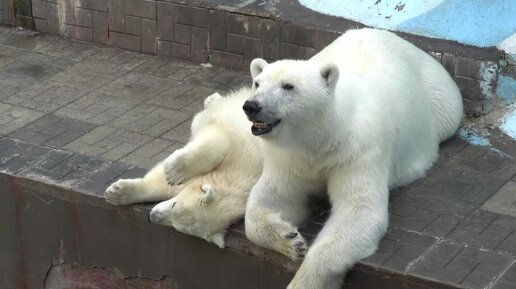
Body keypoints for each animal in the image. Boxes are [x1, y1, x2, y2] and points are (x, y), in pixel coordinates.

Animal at [243, 28, 464, 288]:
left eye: (288, 86)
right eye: (257, 83)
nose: (252, 106)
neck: (321, 137)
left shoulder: (357, 152)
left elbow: (359, 211)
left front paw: (303, 279)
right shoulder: (289, 159)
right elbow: (271, 198)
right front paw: (290, 239)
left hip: (437, 94)